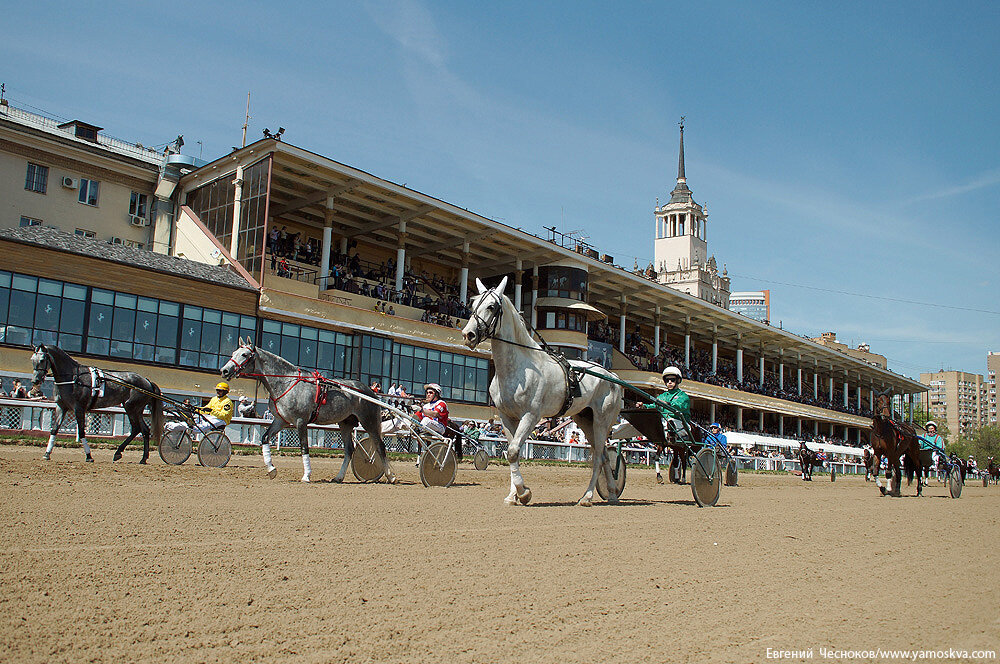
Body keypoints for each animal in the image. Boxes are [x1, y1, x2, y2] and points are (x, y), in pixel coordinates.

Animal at [29, 344, 164, 464]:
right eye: (32, 360)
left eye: (42, 360)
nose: (35, 380)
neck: (73, 378)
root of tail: (147, 381)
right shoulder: (61, 407)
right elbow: (54, 429)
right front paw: (47, 453)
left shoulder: (79, 408)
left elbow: (81, 431)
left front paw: (89, 456)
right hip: (136, 409)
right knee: (144, 430)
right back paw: (143, 458)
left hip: (131, 407)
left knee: (136, 428)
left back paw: (119, 452)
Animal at [221, 338, 392, 482]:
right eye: (233, 353)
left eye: (244, 354)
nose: (224, 370)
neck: (287, 383)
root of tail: (369, 391)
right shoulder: (281, 420)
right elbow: (265, 438)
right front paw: (271, 469)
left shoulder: (300, 421)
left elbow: (304, 447)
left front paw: (306, 475)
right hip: (345, 423)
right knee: (349, 450)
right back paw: (339, 477)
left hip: (368, 420)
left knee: (379, 446)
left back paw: (390, 476)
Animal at [462, 278, 620, 506]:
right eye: (473, 305)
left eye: (491, 306)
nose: (468, 335)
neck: (519, 367)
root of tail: (612, 376)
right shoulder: (506, 416)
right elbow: (512, 452)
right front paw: (513, 495)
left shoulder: (531, 415)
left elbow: (513, 452)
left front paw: (523, 492)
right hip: (585, 419)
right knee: (605, 455)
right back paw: (613, 493)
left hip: (602, 420)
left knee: (598, 456)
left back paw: (587, 496)